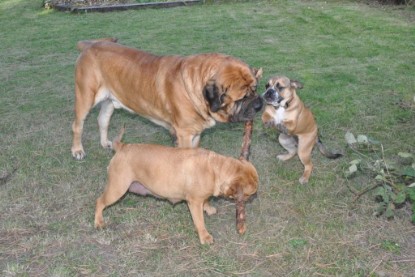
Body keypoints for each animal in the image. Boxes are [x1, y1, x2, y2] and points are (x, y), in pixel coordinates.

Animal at [71, 37, 264, 158]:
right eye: (241, 98)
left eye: (255, 89)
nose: (259, 104)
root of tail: (90, 46)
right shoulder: (185, 133)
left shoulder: (195, 133)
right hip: (85, 96)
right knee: (77, 125)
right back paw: (77, 150)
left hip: (110, 100)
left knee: (102, 119)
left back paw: (105, 143)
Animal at [95, 128, 260, 243]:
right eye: (249, 194)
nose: (254, 198)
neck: (216, 168)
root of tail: (122, 146)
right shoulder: (194, 203)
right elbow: (199, 221)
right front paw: (205, 237)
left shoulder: (202, 197)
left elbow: (206, 200)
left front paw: (208, 208)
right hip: (117, 189)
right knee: (100, 202)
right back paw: (98, 222)